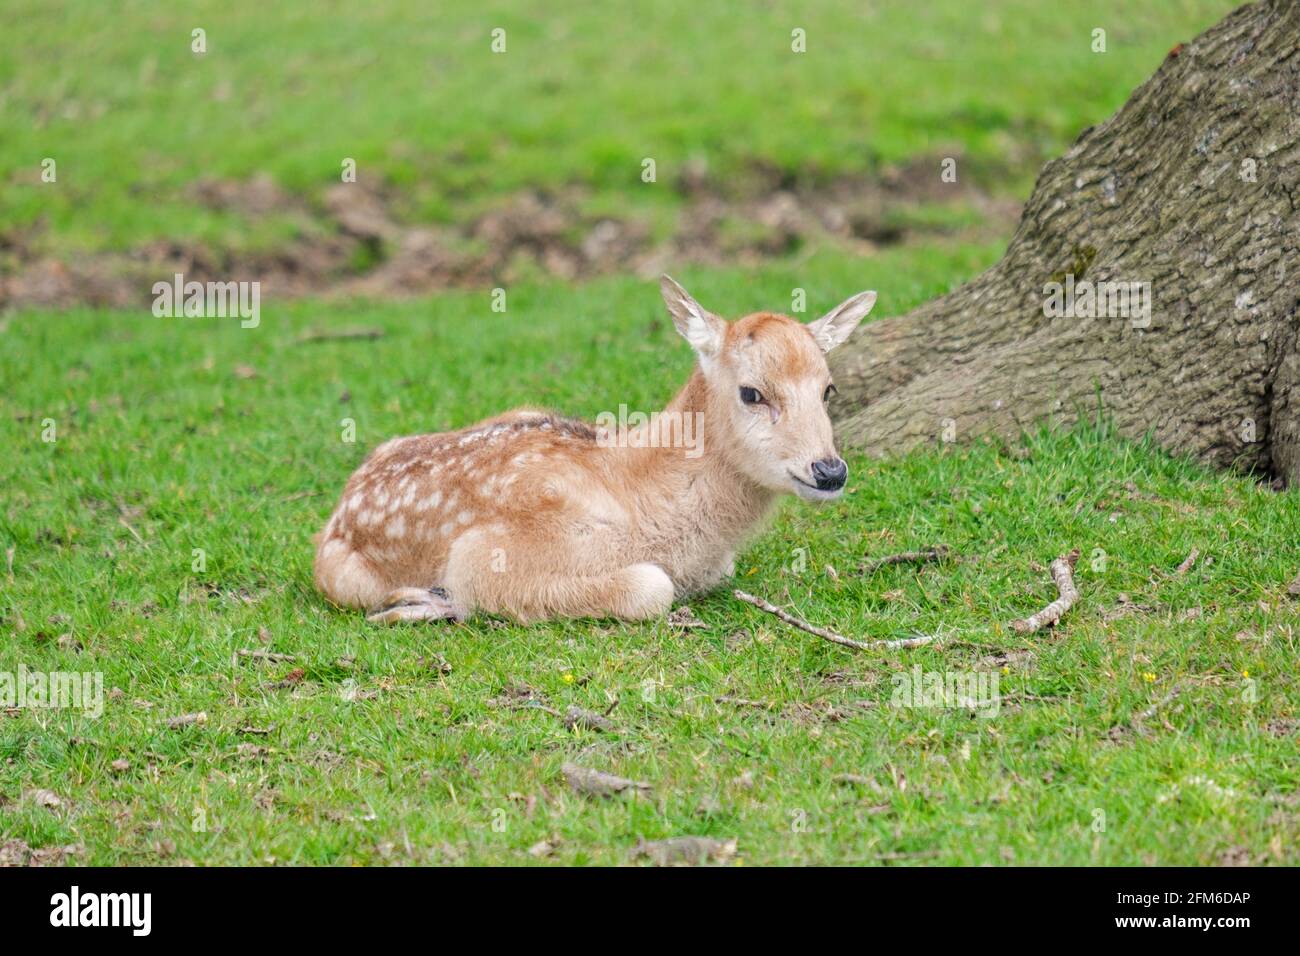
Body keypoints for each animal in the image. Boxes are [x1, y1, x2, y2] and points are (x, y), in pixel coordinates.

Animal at [313, 273, 873, 624]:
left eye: (828, 389)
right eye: (752, 392)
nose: (829, 471)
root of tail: (340, 504)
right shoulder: (485, 553)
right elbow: (651, 588)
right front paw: (436, 600)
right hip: (340, 576)